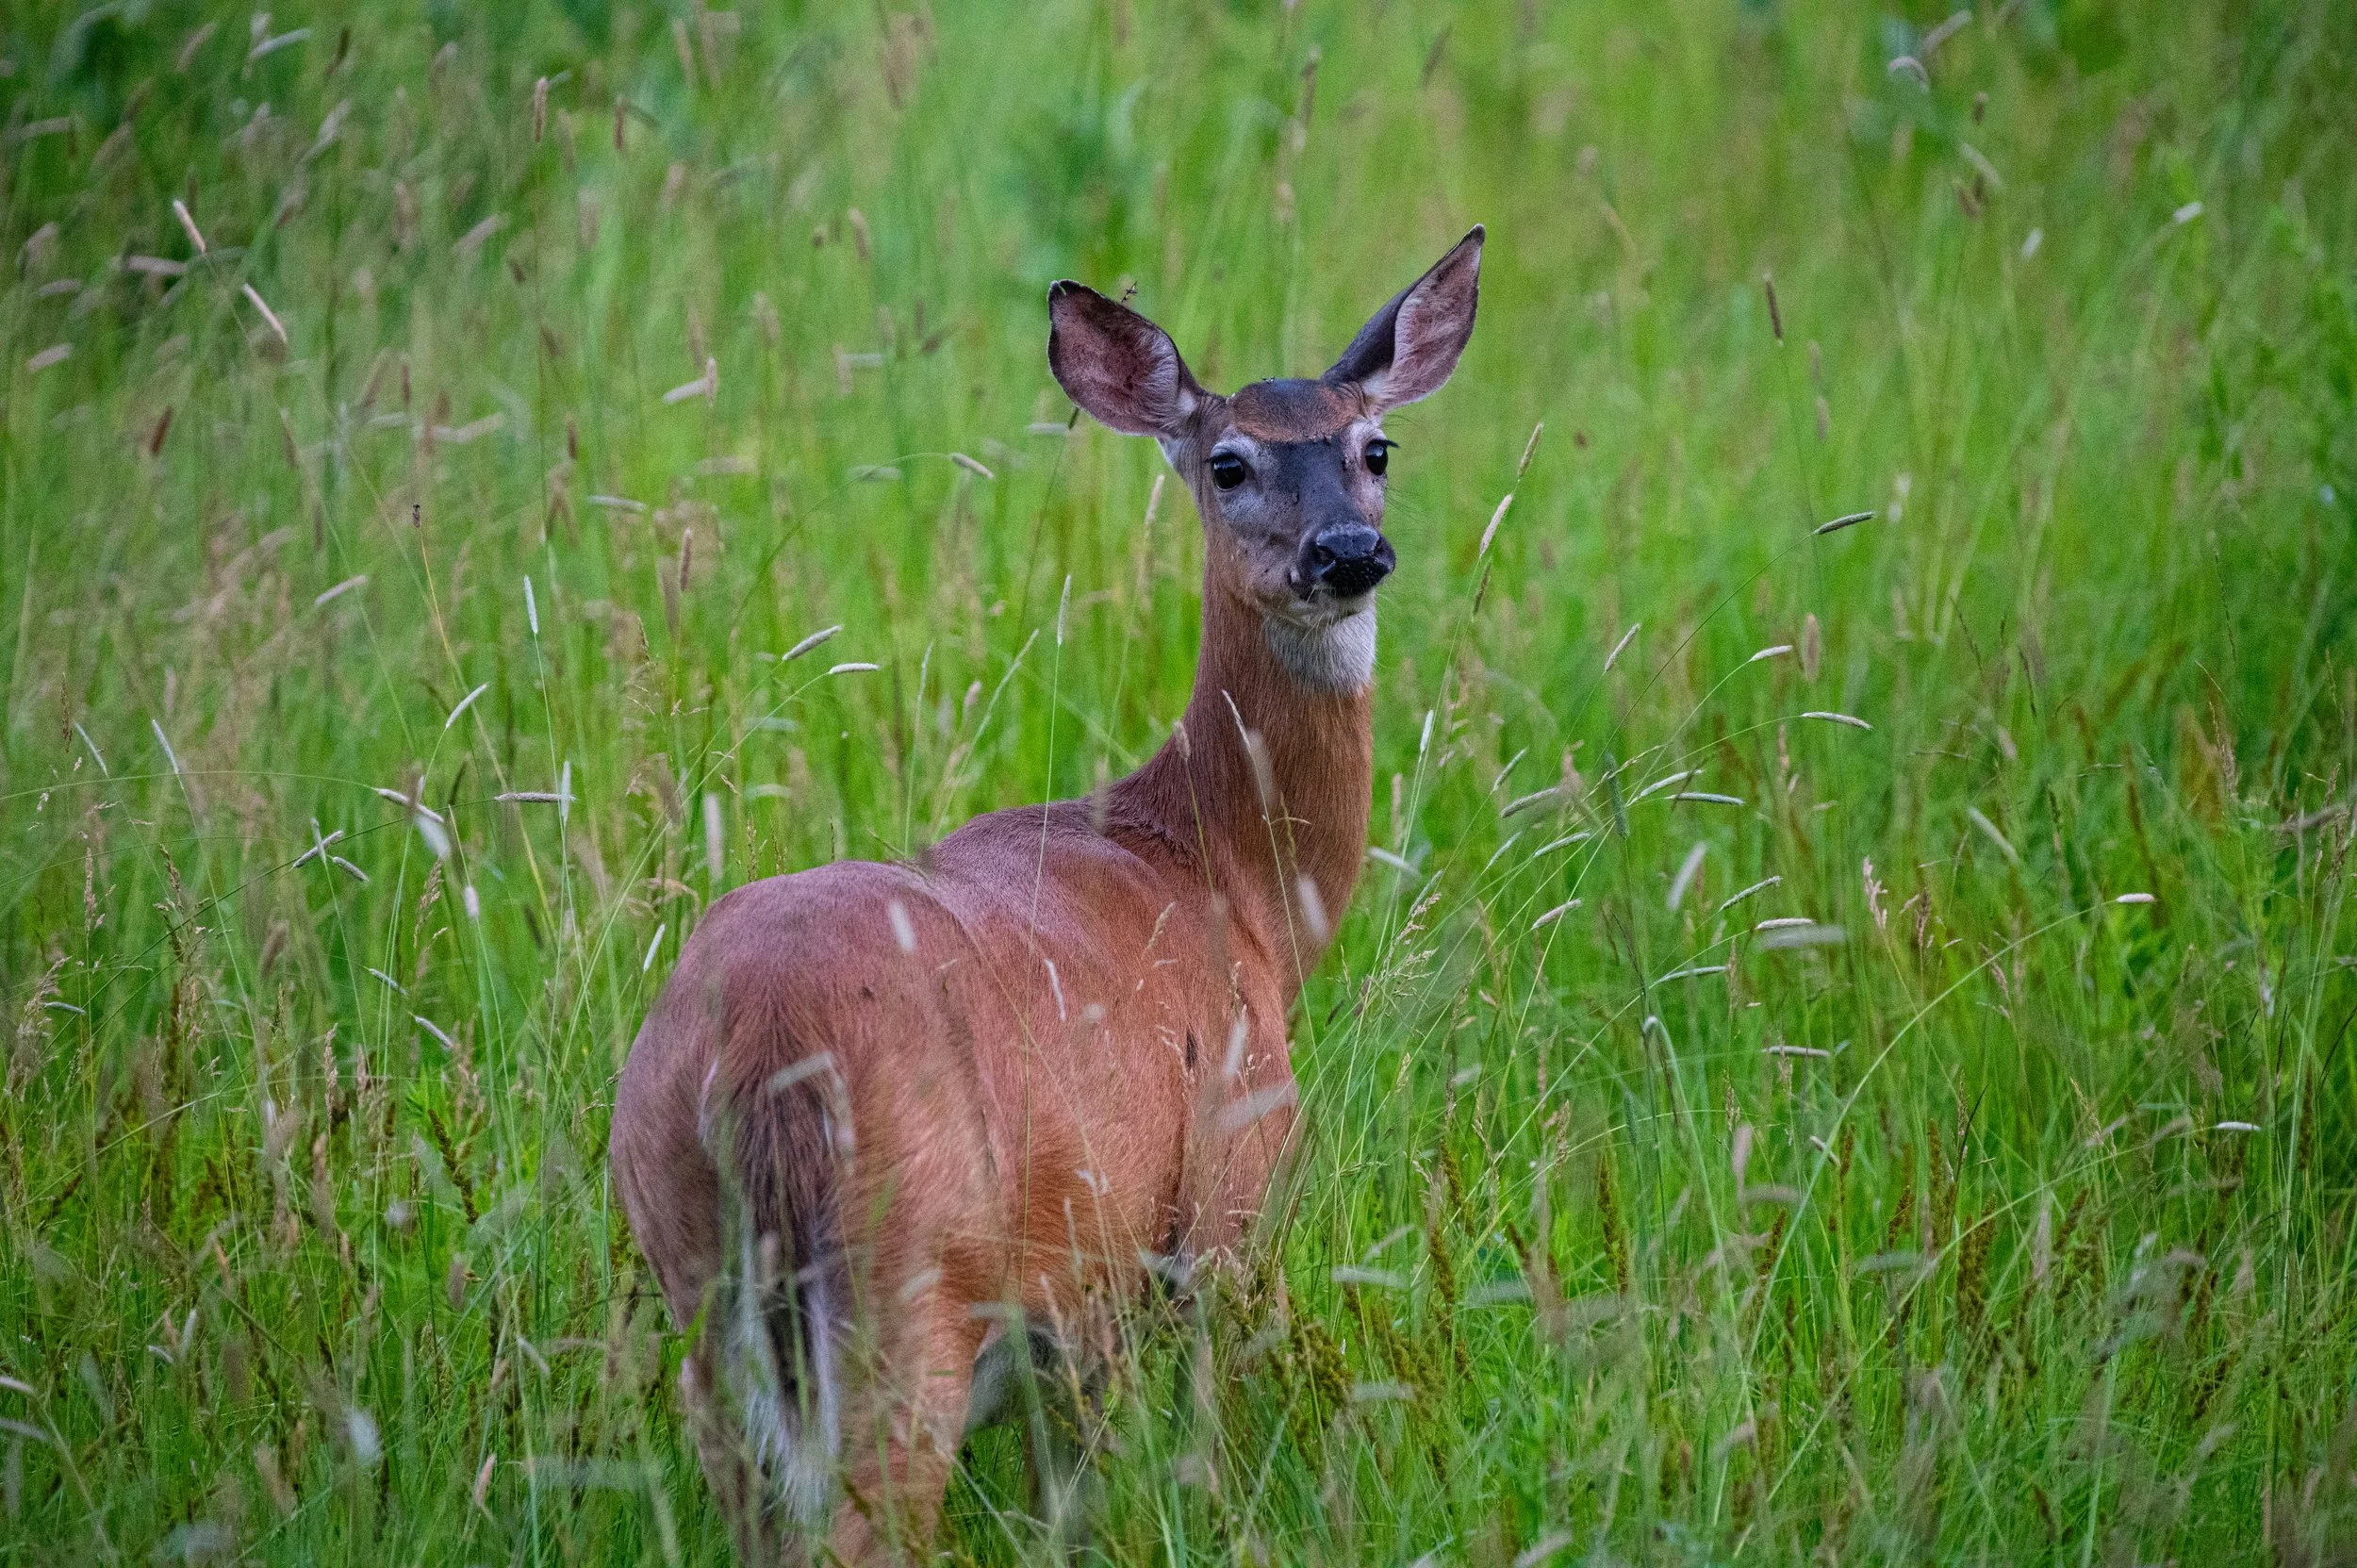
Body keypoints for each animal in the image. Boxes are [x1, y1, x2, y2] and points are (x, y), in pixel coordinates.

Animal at [610, 226, 1483, 1562]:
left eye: (1373, 448)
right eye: (1227, 462)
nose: (1345, 552)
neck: (1230, 886)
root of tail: (759, 1054)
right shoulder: (1215, 1207)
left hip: (700, 1284)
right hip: (907, 1281)